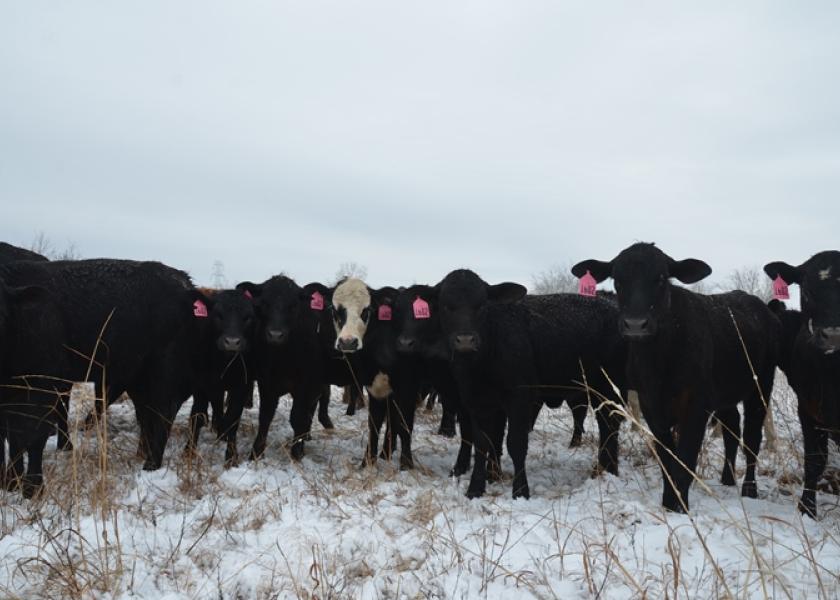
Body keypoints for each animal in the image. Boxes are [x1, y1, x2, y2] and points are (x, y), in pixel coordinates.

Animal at [185, 288, 258, 466]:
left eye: (248, 317)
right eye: (218, 315)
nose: (232, 342)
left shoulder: (241, 386)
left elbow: (233, 419)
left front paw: (231, 458)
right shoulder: (201, 384)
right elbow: (197, 415)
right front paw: (188, 451)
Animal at [430, 270, 628, 500]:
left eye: (482, 305)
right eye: (445, 305)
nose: (465, 340)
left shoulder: (519, 398)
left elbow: (515, 443)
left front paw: (520, 491)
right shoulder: (477, 400)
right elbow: (481, 443)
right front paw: (475, 489)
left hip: (609, 388)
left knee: (610, 426)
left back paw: (608, 471)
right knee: (606, 425)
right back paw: (603, 470)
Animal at [576, 241, 776, 512]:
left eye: (661, 277)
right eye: (617, 278)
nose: (635, 324)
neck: (659, 364)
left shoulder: (696, 406)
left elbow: (685, 459)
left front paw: (679, 506)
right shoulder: (651, 406)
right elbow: (667, 459)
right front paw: (669, 502)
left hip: (761, 385)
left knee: (752, 437)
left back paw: (749, 489)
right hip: (726, 394)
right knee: (732, 427)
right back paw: (727, 478)